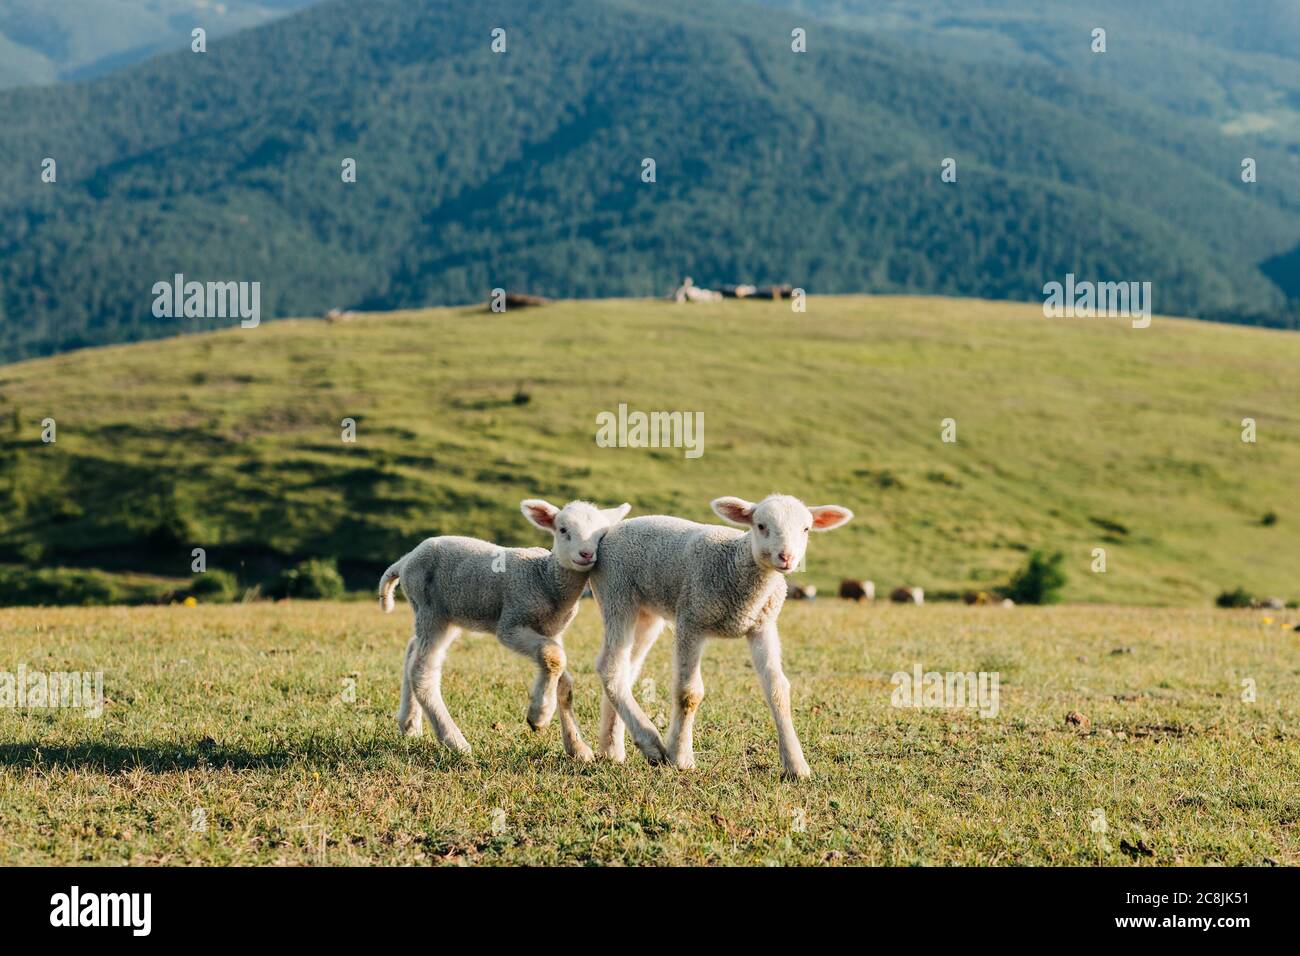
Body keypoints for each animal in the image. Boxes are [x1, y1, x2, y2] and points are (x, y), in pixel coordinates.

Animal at [377, 502, 629, 764]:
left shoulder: (551, 629)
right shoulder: (511, 622)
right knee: (421, 672)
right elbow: (553, 656)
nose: (586, 554)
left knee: (412, 650)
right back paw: (454, 741)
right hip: (430, 608)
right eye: (562, 529)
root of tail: (405, 560)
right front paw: (539, 716)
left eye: (601, 535)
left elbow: (561, 676)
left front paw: (577, 747)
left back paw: (409, 725)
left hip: (446, 614)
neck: (545, 578)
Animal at [590, 494, 852, 780]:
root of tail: (610, 529)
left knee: (625, 670)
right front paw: (681, 757)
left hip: (646, 614)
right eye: (760, 525)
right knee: (610, 667)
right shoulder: (691, 619)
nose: (787, 556)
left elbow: (778, 690)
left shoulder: (762, 625)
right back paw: (651, 743)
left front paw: (796, 764)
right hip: (617, 594)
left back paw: (612, 749)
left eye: (805, 529)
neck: (735, 564)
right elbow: (689, 692)